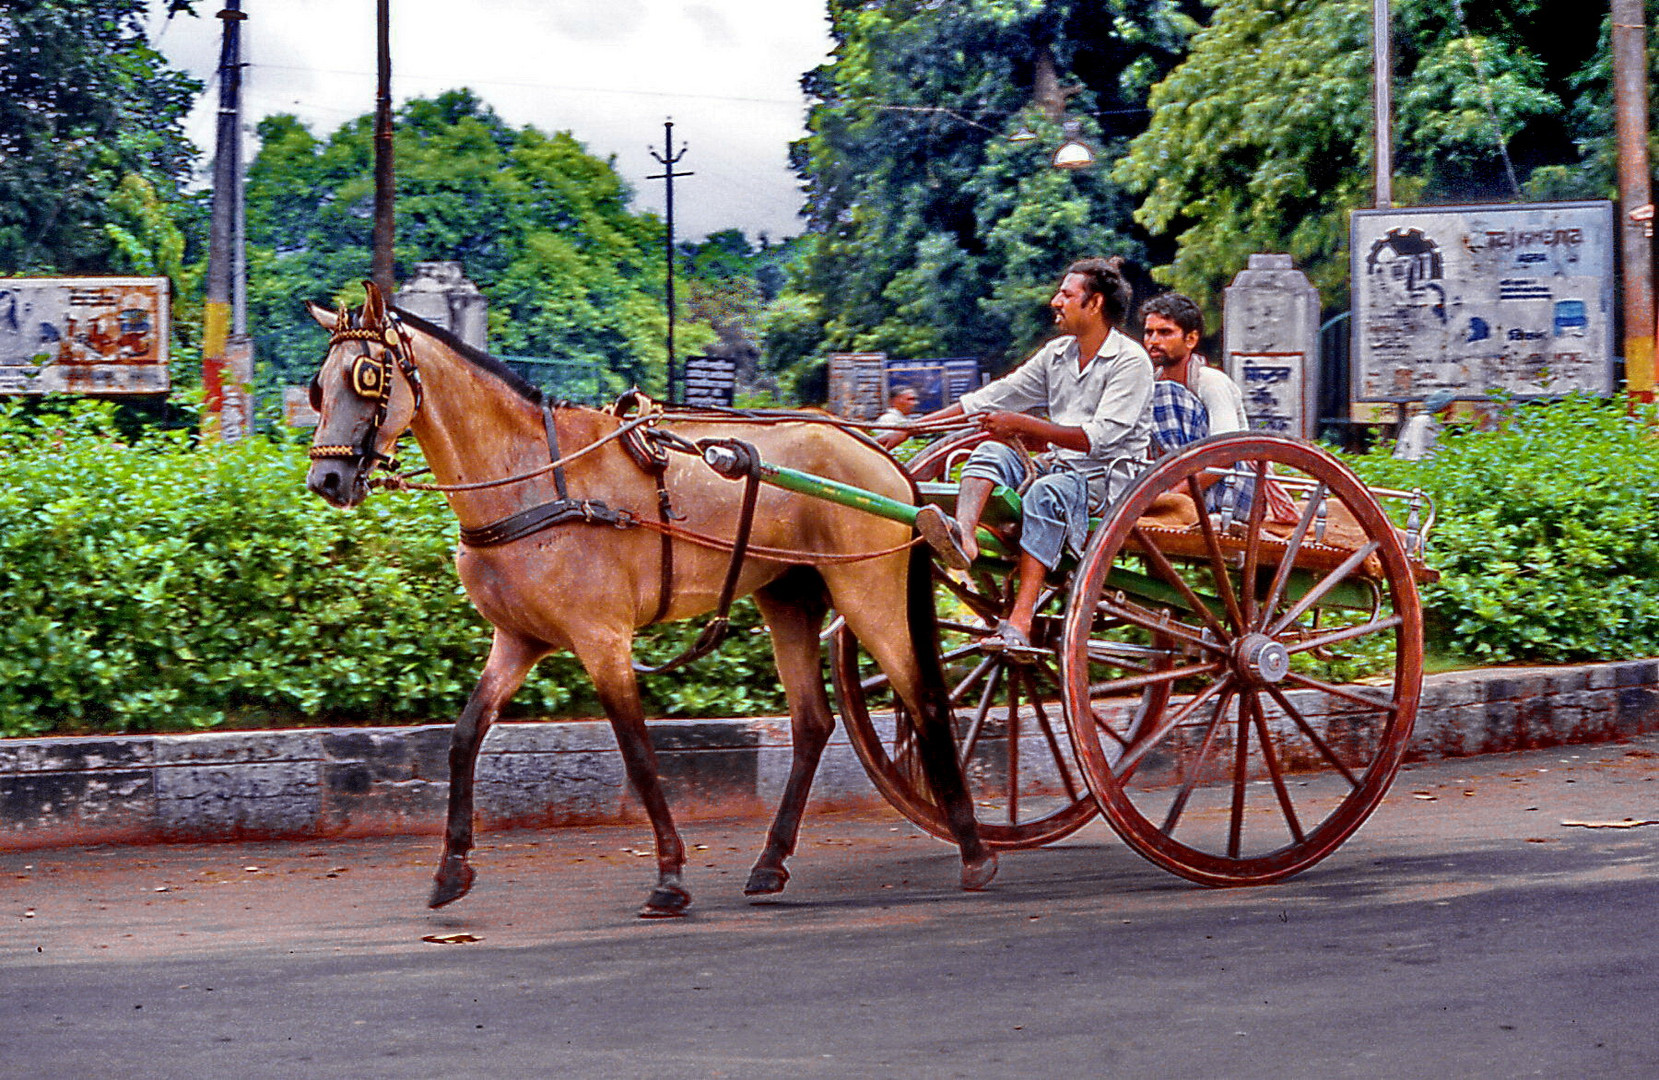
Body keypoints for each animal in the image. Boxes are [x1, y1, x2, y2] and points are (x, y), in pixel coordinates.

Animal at [303, 283, 988, 915]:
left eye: (366, 378)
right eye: (317, 387)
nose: (326, 479)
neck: (533, 477)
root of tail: (879, 455)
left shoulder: (602, 639)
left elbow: (637, 753)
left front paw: (670, 875)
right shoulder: (518, 640)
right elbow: (465, 737)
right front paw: (451, 867)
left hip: (868, 592)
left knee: (926, 698)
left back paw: (975, 849)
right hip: (789, 597)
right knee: (814, 722)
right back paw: (771, 862)